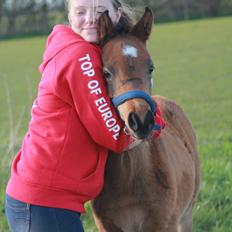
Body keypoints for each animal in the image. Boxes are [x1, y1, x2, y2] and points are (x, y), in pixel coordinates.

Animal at [91, 7, 200, 232]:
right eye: (106, 72)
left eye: (151, 67)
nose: (141, 121)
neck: (131, 177)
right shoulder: (107, 226)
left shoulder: (164, 223)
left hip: (186, 213)